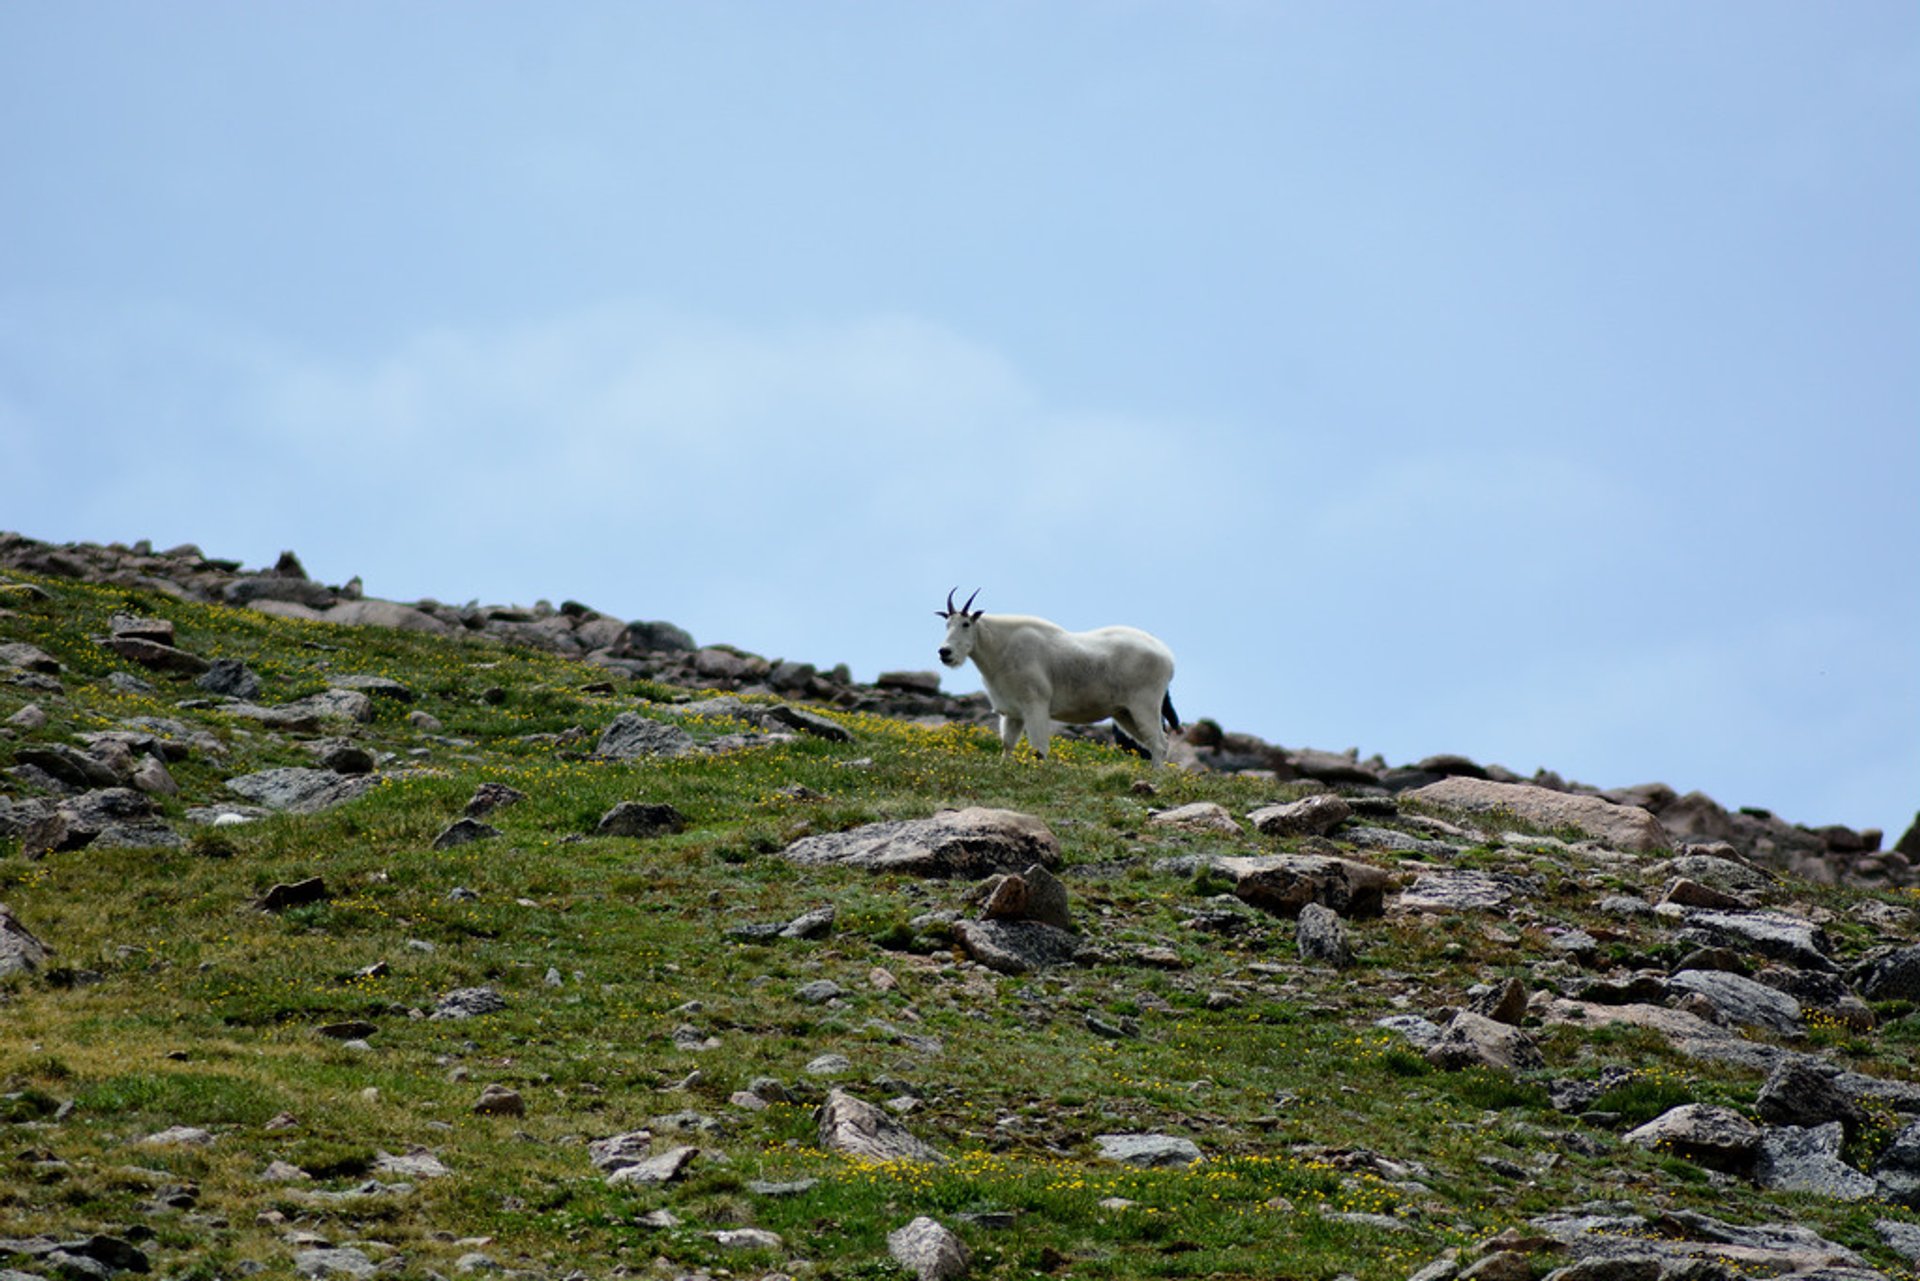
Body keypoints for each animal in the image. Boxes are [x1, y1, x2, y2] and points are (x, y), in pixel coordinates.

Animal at [936, 587, 1175, 760]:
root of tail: (1167, 657)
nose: (945, 652)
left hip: (1145, 705)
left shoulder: (1036, 705)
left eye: (966, 623)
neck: (1000, 650)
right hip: (1124, 712)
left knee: (1159, 744)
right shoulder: (1012, 713)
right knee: (1155, 743)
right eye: (946, 624)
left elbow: (1039, 749)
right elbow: (1007, 746)